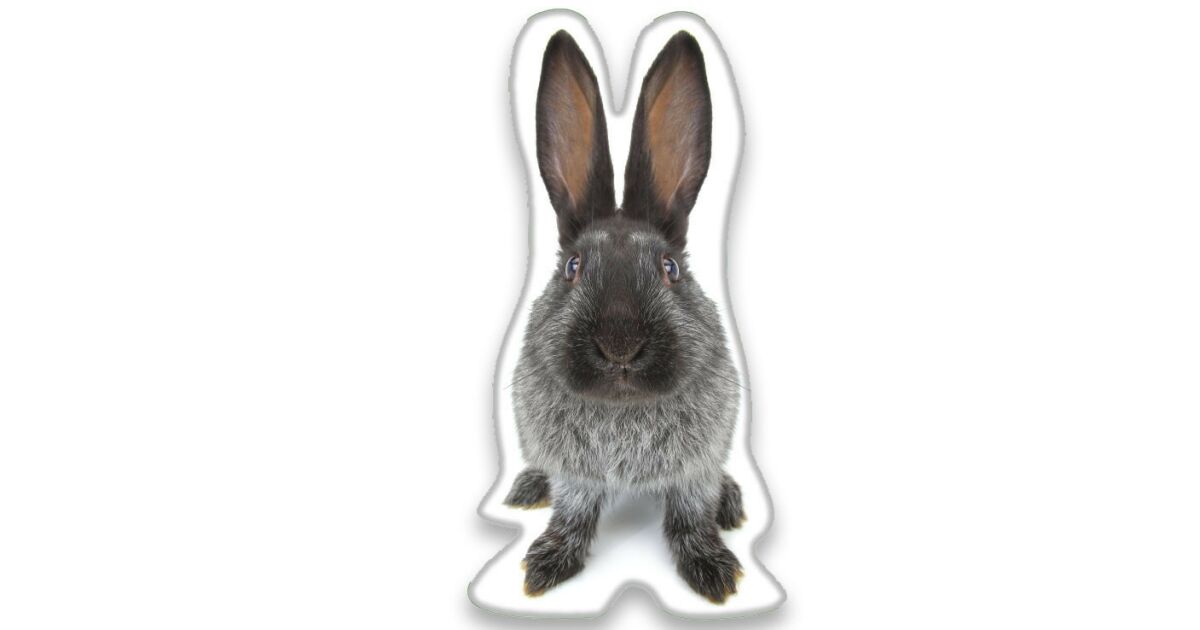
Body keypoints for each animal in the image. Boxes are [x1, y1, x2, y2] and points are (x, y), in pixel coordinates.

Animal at [503, 29, 746, 604]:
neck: (622, 409)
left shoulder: (695, 469)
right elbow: (572, 514)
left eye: (670, 268)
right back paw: (527, 487)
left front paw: (714, 571)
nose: (620, 346)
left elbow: (690, 517)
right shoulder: (576, 475)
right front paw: (545, 565)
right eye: (572, 267)